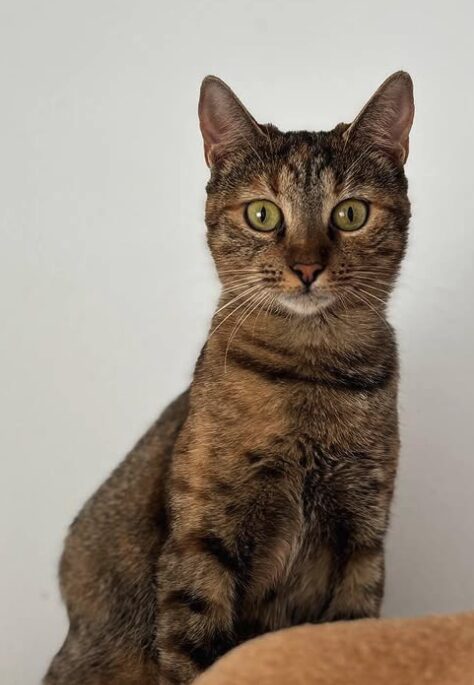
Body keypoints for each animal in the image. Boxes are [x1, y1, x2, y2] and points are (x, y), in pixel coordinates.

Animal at [45, 71, 414, 684]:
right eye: (263, 214)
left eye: (350, 214)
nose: (307, 267)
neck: (312, 375)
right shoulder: (203, 540)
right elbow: (194, 651)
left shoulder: (363, 541)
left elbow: (353, 633)